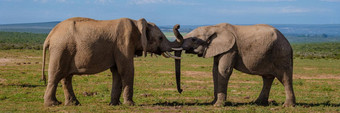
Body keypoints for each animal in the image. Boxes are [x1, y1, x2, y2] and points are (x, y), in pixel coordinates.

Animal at [40, 17, 182, 107]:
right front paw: (130, 105)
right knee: (56, 74)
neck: (137, 22)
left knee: (66, 77)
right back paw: (53, 104)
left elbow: (117, 72)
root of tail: (50, 35)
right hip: (61, 49)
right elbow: (126, 70)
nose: (180, 91)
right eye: (160, 38)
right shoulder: (123, 43)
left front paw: (115, 104)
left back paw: (74, 104)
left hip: (65, 50)